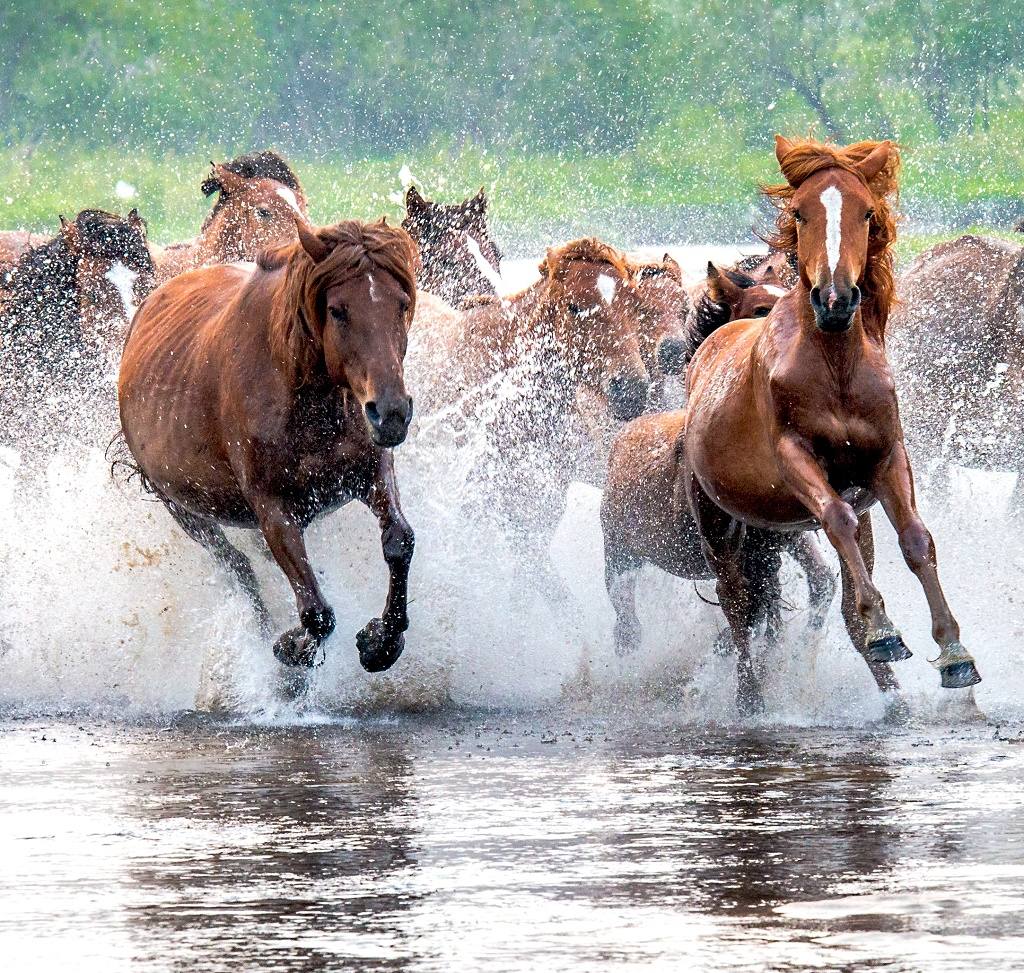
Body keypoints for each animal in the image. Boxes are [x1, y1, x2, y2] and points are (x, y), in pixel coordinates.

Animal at [120, 217, 419, 675]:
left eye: (401, 304)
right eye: (338, 310)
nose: (390, 413)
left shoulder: (370, 473)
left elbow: (399, 541)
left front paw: (381, 642)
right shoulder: (273, 509)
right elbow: (316, 612)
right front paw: (291, 648)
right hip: (183, 509)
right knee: (238, 568)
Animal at [679, 137, 983, 712]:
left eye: (867, 212)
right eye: (800, 211)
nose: (836, 301)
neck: (835, 369)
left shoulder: (887, 458)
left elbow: (916, 540)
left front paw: (954, 653)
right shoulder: (796, 459)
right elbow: (836, 519)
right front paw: (887, 630)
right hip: (719, 527)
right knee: (737, 608)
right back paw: (751, 698)